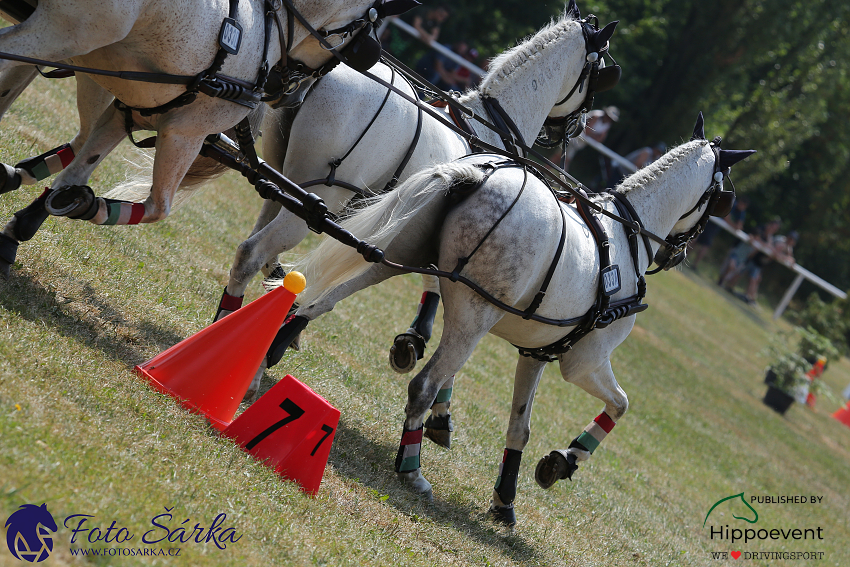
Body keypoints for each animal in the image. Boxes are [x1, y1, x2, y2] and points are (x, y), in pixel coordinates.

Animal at [0, 0, 390, 276]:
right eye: (360, 40)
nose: (292, 97)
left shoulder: (132, 109)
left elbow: (77, 170)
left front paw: (25, 225)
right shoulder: (185, 133)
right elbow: (158, 208)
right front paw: (87, 205)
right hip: (60, 36)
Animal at [219, 5, 616, 400]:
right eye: (599, 74)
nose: (578, 128)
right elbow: (433, 283)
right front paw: (414, 340)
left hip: (283, 182)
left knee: (257, 249)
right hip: (317, 197)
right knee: (255, 252)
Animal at [270, 113, 748, 524]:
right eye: (723, 200)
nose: (679, 254)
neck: (625, 242)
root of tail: (477, 175)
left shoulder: (537, 353)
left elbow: (520, 428)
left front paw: (505, 500)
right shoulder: (585, 362)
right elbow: (621, 403)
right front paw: (564, 461)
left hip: (396, 256)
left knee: (321, 301)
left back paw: (277, 344)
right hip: (472, 320)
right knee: (424, 385)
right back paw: (411, 469)